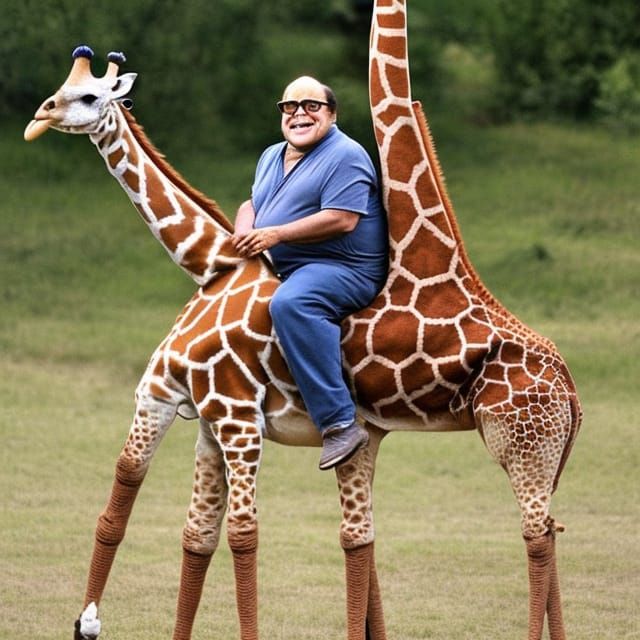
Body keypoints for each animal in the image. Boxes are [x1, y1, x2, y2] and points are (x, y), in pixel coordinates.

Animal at [24, 2, 581, 639]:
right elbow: (170, 524)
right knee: (532, 531)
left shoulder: (235, 418)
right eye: (61, 88)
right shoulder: (190, 412)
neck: (211, 265)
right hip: (514, 447)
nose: (40, 114)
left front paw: (92, 618)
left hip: (521, 439)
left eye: (90, 96)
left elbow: (241, 535)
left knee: (534, 535)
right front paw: (88, 618)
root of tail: (569, 383)